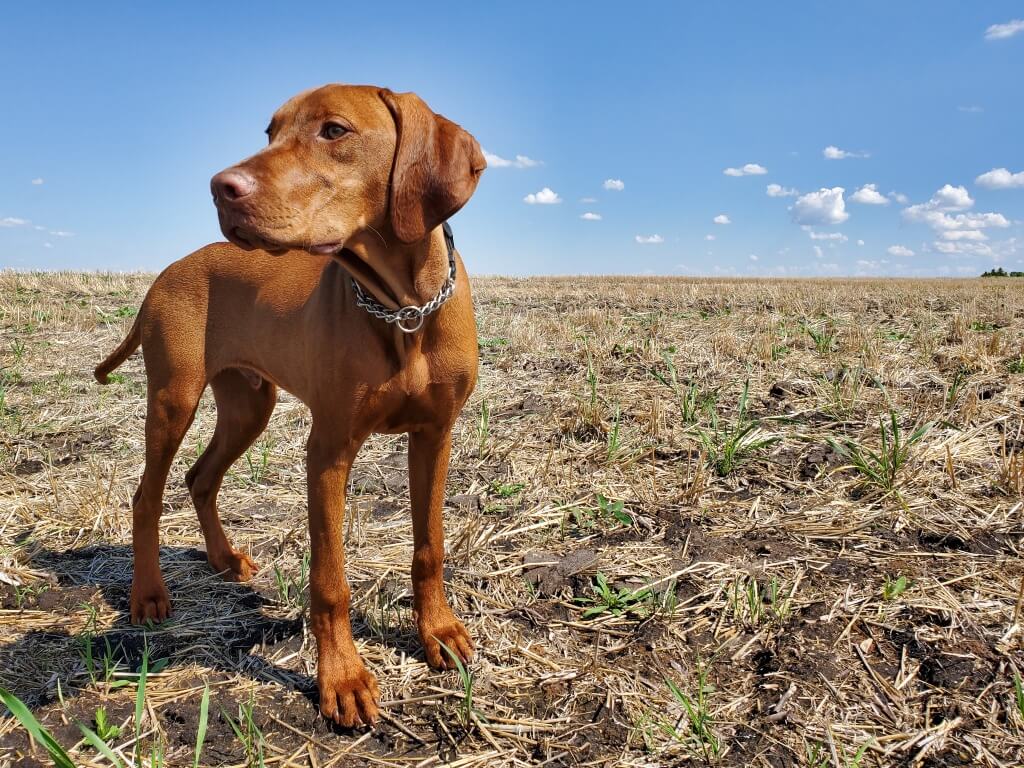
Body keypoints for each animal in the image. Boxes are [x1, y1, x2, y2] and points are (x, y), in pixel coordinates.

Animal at [94, 83, 485, 729]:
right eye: (270, 132)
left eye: (334, 131)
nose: (219, 187)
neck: (402, 309)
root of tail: (168, 271)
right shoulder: (327, 450)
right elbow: (330, 580)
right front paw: (343, 678)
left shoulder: (436, 434)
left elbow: (430, 546)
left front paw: (439, 632)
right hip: (173, 399)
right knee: (146, 495)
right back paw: (148, 594)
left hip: (248, 404)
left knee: (201, 478)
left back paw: (225, 560)